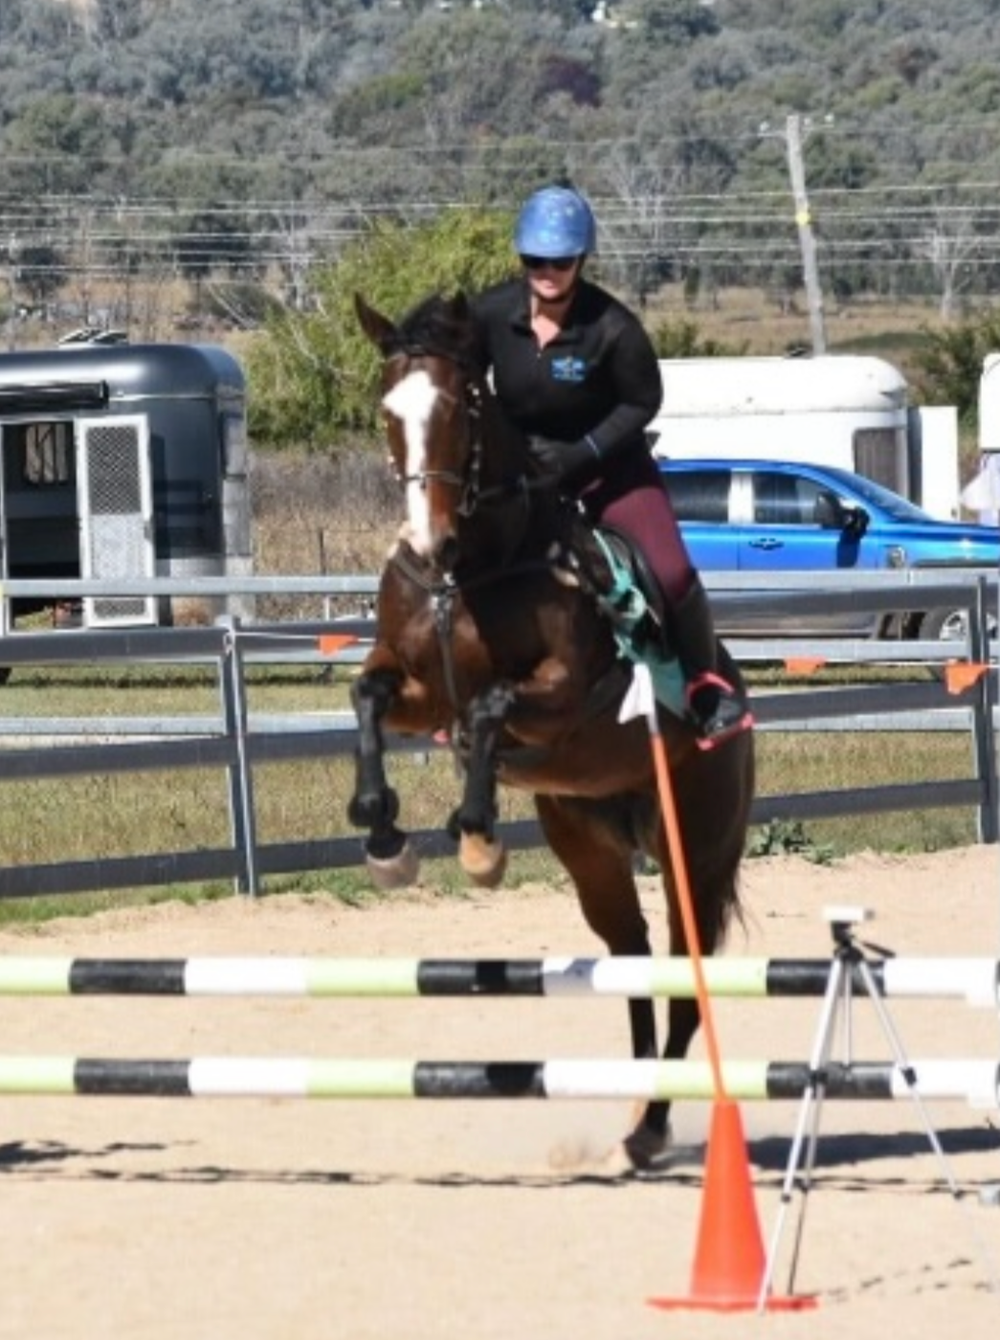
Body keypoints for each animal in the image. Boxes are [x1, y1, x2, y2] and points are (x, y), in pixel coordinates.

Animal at [348, 290, 755, 1169]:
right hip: (591, 848)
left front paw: (476, 838)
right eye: (388, 409)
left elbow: (490, 709)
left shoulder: (562, 697)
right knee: (633, 961)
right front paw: (382, 834)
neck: (470, 568)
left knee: (684, 979)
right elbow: (367, 698)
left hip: (695, 848)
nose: (426, 541)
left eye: (464, 404)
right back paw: (637, 1118)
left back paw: (652, 1127)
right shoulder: (416, 691)